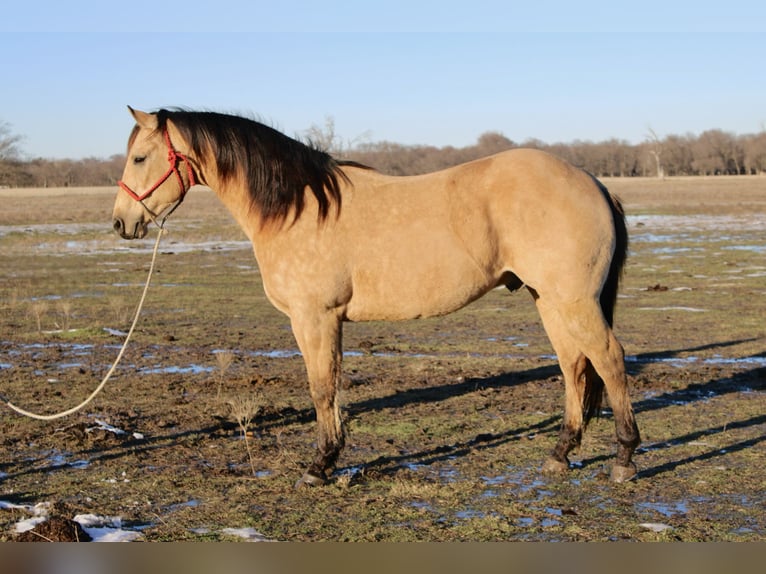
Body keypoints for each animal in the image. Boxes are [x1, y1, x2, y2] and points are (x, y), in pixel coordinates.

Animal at [114, 107, 640, 486]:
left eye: (139, 158)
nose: (121, 223)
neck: (299, 207)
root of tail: (591, 181)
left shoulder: (315, 317)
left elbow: (321, 387)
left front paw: (320, 466)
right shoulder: (323, 321)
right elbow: (330, 385)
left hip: (573, 300)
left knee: (609, 360)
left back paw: (624, 458)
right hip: (548, 298)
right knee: (574, 366)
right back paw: (560, 453)